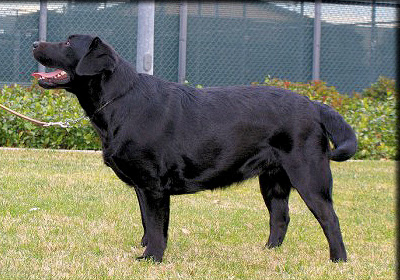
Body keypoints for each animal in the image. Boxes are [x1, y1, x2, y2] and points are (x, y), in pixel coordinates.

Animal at [31, 35, 356, 262]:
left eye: (68, 42)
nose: (35, 43)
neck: (120, 101)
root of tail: (314, 105)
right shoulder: (141, 186)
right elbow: (147, 223)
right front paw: (146, 250)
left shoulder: (153, 186)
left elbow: (156, 225)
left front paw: (151, 259)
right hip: (272, 179)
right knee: (280, 217)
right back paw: (267, 253)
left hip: (308, 174)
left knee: (330, 218)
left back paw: (338, 260)